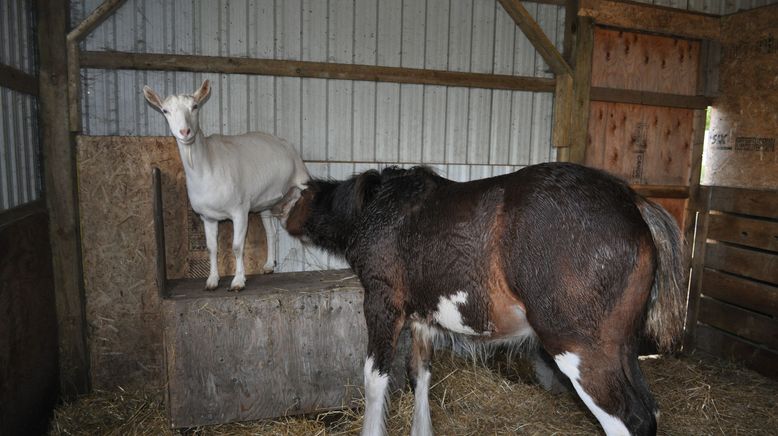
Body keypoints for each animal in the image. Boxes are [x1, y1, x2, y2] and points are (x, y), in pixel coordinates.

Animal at [144, 80, 308, 292]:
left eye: (195, 106)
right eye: (165, 110)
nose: (185, 132)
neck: (208, 165)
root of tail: (284, 143)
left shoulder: (240, 210)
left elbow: (237, 247)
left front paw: (238, 281)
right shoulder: (207, 217)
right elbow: (211, 248)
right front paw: (212, 281)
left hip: (302, 178)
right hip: (264, 203)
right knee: (271, 233)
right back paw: (269, 265)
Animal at [282, 163, 684, 436]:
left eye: (294, 196)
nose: (282, 218)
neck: (380, 209)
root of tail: (633, 202)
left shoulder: (382, 306)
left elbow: (375, 379)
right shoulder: (422, 321)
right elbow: (420, 375)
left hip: (581, 352)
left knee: (628, 419)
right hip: (621, 350)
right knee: (650, 413)